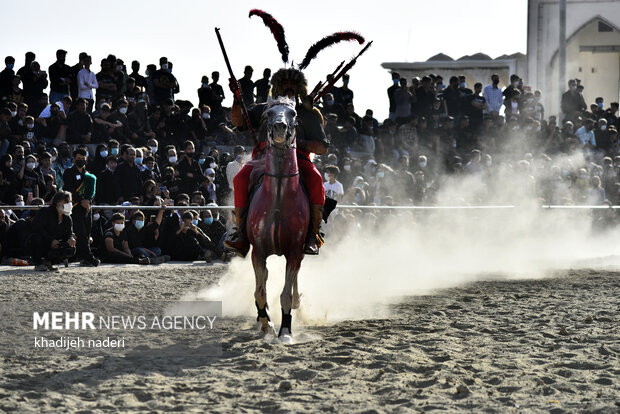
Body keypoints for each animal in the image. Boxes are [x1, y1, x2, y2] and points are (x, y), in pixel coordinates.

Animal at [247, 96, 310, 340]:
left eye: (293, 113)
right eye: (268, 113)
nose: (280, 127)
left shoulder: (294, 251)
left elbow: (285, 294)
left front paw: (285, 330)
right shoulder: (258, 252)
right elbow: (260, 292)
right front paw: (267, 324)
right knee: (263, 281)